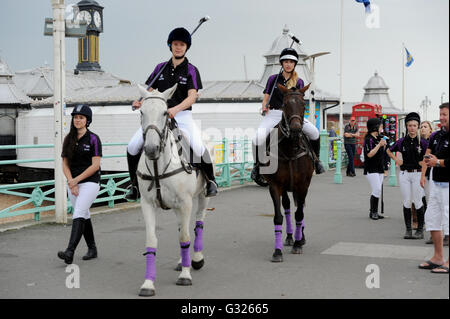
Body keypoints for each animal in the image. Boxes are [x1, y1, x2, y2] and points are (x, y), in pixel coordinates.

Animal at [135, 84, 209, 298]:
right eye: (141, 112)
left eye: (165, 112)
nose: (151, 148)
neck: (158, 166)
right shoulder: (147, 204)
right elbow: (151, 240)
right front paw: (148, 284)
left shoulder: (186, 202)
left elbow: (185, 237)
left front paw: (185, 275)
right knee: (181, 227)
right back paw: (182, 261)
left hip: (203, 197)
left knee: (198, 223)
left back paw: (196, 259)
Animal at [262, 82, 314, 262]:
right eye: (285, 105)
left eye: (304, 104)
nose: (296, 129)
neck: (291, 149)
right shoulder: (275, 186)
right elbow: (279, 216)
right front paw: (277, 251)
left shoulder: (303, 185)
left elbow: (300, 214)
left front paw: (298, 244)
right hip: (285, 188)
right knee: (287, 207)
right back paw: (291, 236)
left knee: (300, 208)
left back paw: (300, 237)